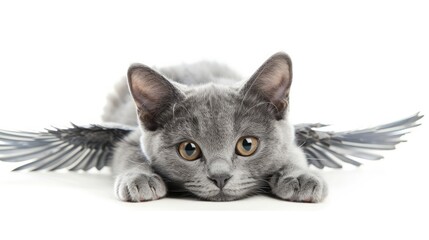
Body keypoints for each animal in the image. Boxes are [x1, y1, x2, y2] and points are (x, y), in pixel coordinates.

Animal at [105, 53, 326, 202]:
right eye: (189, 149)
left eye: (247, 145)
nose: (220, 177)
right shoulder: (132, 138)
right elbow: (129, 152)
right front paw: (140, 178)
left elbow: (293, 153)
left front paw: (300, 177)